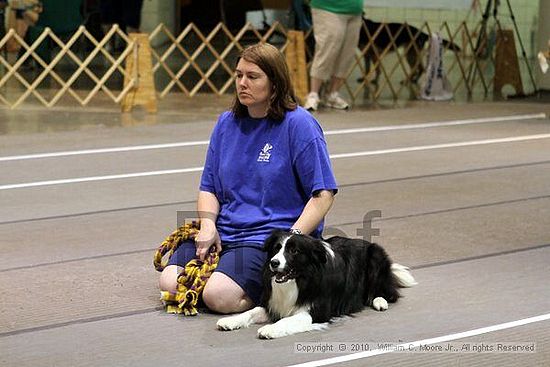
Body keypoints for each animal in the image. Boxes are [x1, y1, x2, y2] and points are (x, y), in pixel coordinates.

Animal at [218, 231, 416, 340]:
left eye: (294, 251)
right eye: (276, 248)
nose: (274, 263)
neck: (299, 280)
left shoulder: (316, 312)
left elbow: (287, 319)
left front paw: (270, 329)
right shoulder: (273, 304)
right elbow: (251, 312)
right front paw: (230, 321)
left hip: (376, 256)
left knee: (388, 292)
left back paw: (379, 301)